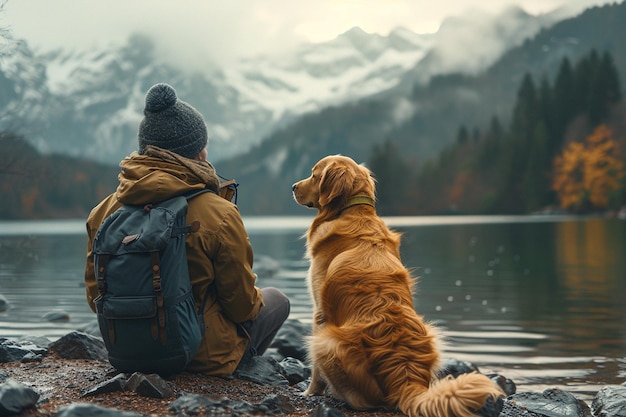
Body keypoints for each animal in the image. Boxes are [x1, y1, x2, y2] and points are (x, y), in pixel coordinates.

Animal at [292, 154, 502, 414]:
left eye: (314, 174)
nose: (293, 187)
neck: (352, 210)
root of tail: (405, 379)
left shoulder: (320, 311)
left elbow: (315, 371)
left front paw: (310, 391)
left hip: (326, 342)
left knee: (362, 401)